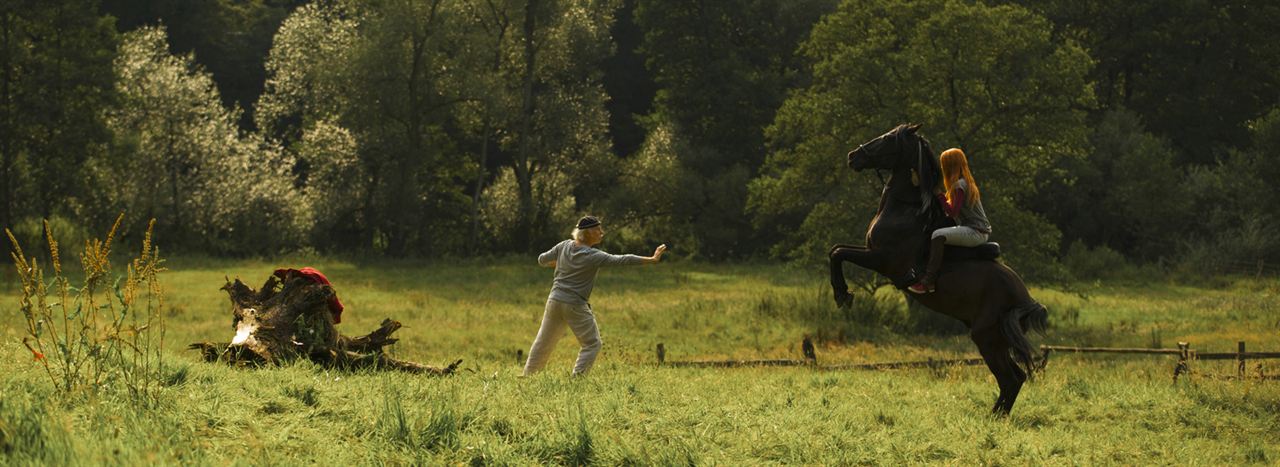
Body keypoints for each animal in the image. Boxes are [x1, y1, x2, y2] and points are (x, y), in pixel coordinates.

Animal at [829, 123, 1049, 414]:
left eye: (888, 138)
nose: (853, 156)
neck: (907, 208)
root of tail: (1025, 297)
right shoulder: (870, 252)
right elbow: (835, 249)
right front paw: (841, 292)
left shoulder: (881, 259)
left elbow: (838, 254)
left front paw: (842, 294)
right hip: (998, 339)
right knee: (1016, 377)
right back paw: (995, 416)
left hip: (986, 337)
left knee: (1010, 378)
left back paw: (992, 418)